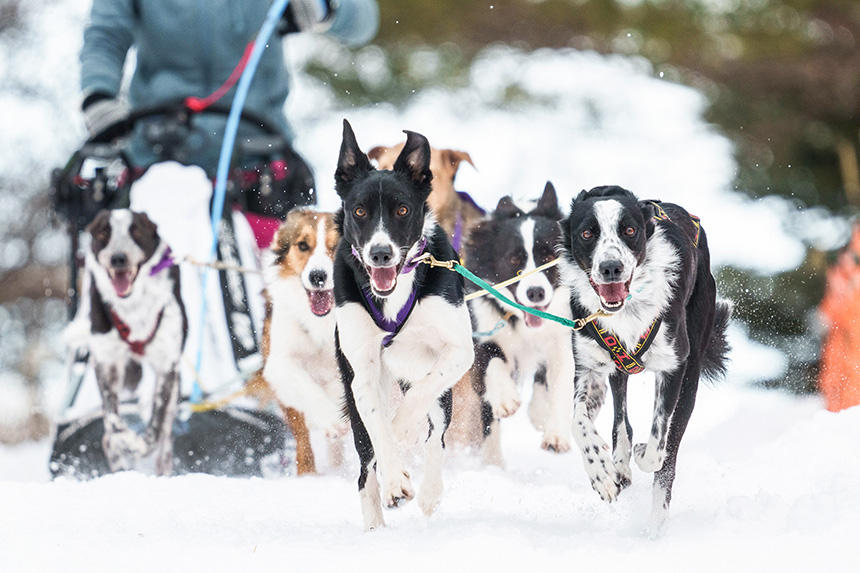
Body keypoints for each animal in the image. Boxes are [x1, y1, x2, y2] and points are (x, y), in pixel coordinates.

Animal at [74, 209, 187, 474]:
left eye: (135, 231)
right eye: (103, 233)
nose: (118, 259)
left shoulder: (166, 366)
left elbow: (154, 429)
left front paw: (137, 444)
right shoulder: (106, 363)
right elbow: (113, 420)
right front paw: (122, 441)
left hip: (175, 385)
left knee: (165, 436)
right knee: (108, 431)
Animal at [249, 206, 346, 474]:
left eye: (337, 245)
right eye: (303, 245)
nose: (318, 277)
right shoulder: (280, 363)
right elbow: (308, 388)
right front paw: (331, 419)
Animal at [332, 118, 474, 528]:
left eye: (402, 209)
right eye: (359, 211)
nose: (381, 254)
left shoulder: (458, 352)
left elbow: (414, 403)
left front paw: (402, 434)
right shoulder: (362, 373)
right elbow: (378, 432)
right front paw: (395, 478)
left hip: (443, 389)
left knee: (436, 433)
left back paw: (429, 490)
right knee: (366, 464)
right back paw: (375, 522)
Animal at [556, 185, 732, 528]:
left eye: (629, 231)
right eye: (587, 233)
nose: (611, 268)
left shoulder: (673, 368)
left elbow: (657, 448)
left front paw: (640, 455)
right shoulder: (589, 369)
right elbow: (579, 423)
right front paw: (602, 473)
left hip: (691, 370)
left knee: (668, 456)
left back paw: (655, 523)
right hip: (617, 369)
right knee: (620, 422)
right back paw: (619, 466)